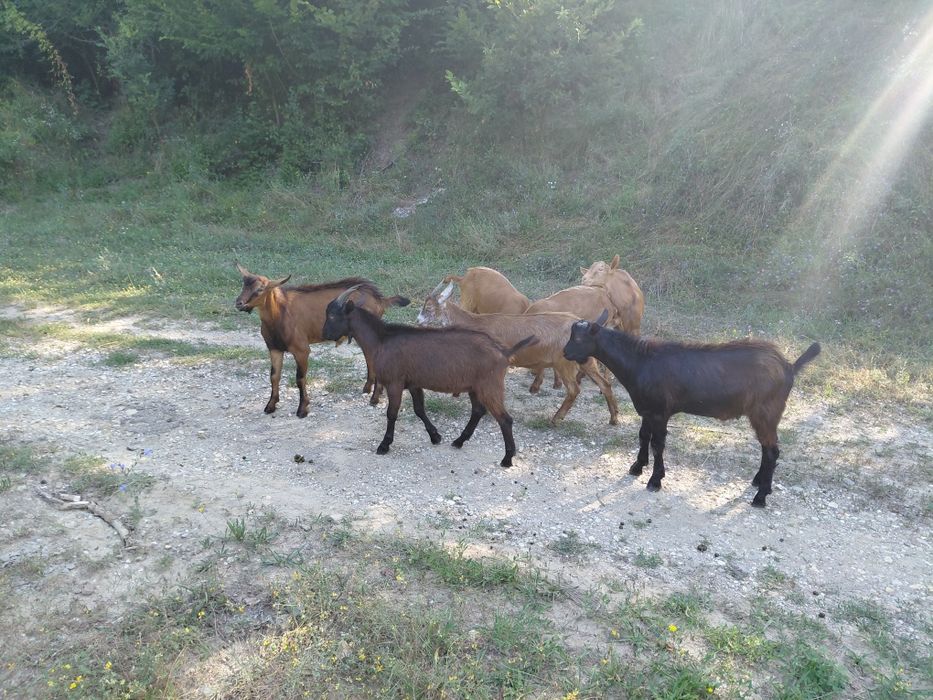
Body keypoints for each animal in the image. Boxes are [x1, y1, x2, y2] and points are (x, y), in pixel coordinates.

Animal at [235, 263, 409, 416]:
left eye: (260, 289)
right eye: (243, 285)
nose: (239, 303)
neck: (279, 314)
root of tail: (380, 299)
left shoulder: (301, 349)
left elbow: (300, 379)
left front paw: (302, 409)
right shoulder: (274, 348)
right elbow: (274, 376)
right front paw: (270, 405)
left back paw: (374, 398)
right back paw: (368, 389)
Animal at [322, 285, 535, 467]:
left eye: (332, 315)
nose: (324, 334)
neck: (381, 340)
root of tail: (504, 353)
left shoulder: (394, 383)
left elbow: (392, 413)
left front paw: (384, 445)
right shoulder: (413, 383)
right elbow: (419, 410)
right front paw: (435, 436)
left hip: (489, 386)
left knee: (504, 419)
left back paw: (507, 459)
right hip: (476, 387)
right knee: (478, 411)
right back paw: (459, 441)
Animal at [417, 281, 620, 425]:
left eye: (428, 308)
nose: (418, 320)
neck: (474, 322)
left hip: (564, 362)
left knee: (574, 390)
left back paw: (555, 419)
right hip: (586, 361)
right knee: (605, 384)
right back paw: (614, 419)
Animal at [563, 311, 820, 507]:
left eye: (579, 339)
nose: (565, 353)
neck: (640, 362)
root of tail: (788, 367)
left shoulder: (660, 412)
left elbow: (658, 444)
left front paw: (655, 480)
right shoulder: (647, 409)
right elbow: (643, 436)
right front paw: (637, 467)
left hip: (766, 413)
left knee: (772, 451)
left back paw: (760, 496)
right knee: (767, 450)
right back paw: (758, 482)